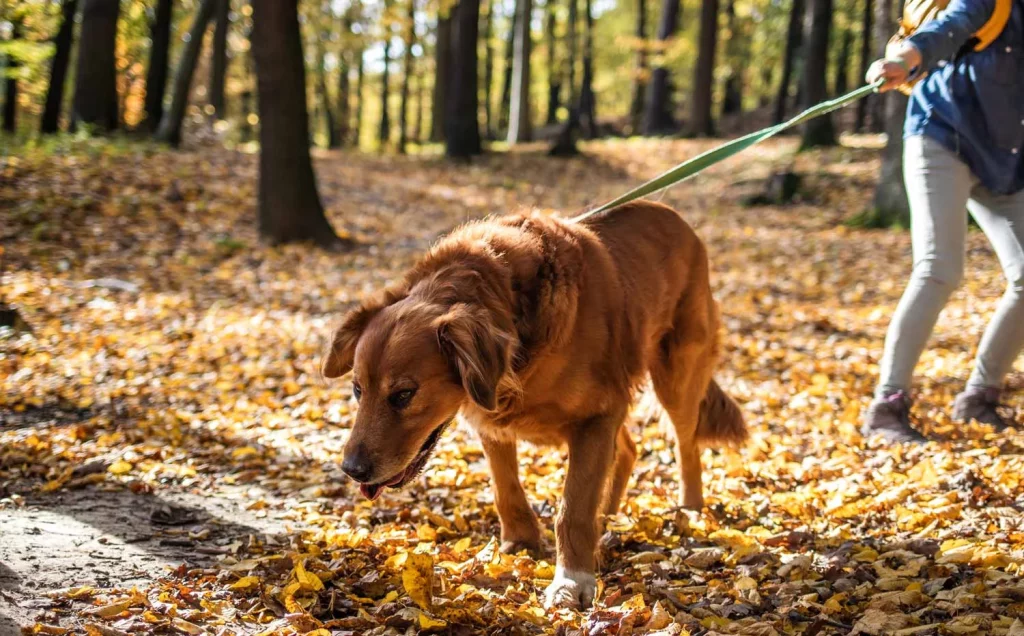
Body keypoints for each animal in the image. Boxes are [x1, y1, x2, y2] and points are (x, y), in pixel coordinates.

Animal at [323, 200, 749, 606]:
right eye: (357, 390)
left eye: (404, 394)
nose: (352, 470)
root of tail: (675, 216)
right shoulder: (493, 418)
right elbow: (506, 489)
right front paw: (521, 542)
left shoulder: (597, 414)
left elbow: (573, 508)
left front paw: (571, 580)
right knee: (629, 448)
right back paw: (609, 512)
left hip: (677, 375)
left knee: (686, 444)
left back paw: (690, 510)